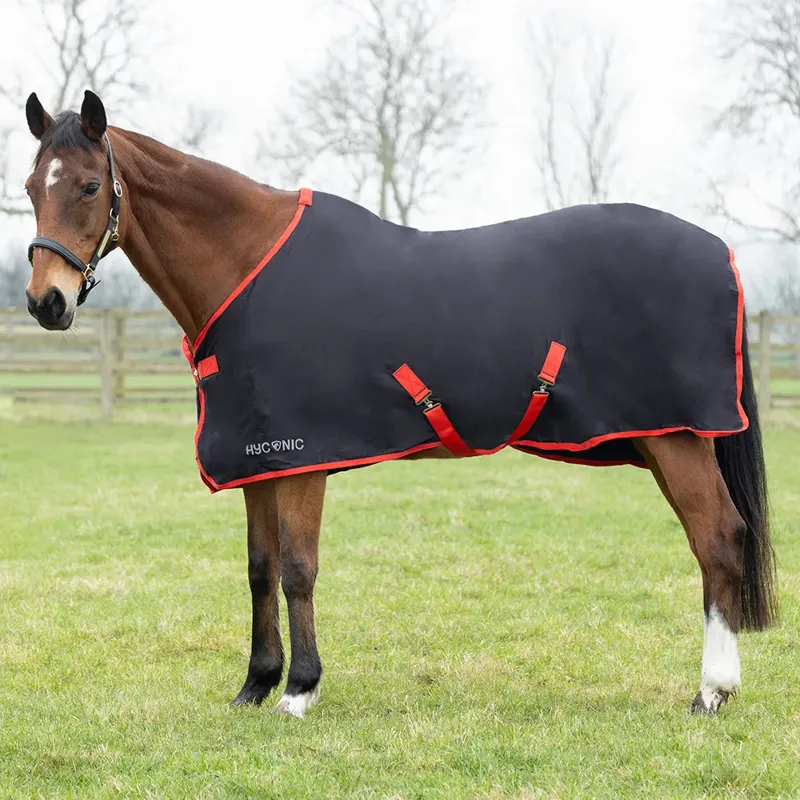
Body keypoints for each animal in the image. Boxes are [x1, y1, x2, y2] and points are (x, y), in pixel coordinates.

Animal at [21, 90, 777, 718]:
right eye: (31, 186)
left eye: (90, 185)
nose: (45, 302)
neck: (246, 265)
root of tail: (722, 251)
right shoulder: (258, 459)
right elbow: (260, 571)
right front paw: (255, 685)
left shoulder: (301, 461)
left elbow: (298, 570)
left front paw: (299, 691)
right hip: (663, 437)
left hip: (677, 438)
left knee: (717, 540)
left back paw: (712, 691)